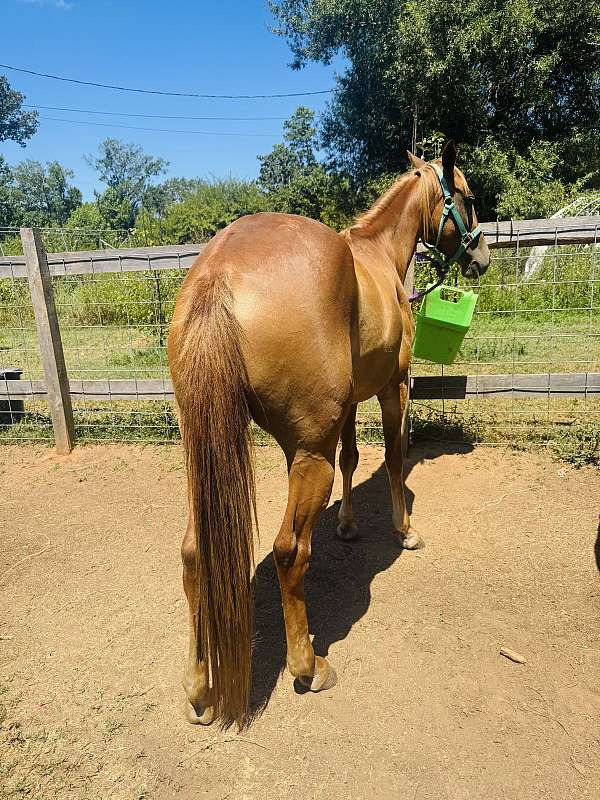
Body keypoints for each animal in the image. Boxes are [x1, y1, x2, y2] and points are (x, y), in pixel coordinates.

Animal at [167, 141, 490, 729]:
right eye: (468, 197)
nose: (480, 256)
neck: (378, 255)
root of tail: (218, 272)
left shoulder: (348, 405)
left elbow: (353, 457)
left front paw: (347, 525)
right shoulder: (393, 386)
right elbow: (393, 455)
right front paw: (404, 528)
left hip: (206, 458)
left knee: (195, 554)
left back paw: (199, 690)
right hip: (305, 455)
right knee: (288, 551)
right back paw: (308, 666)